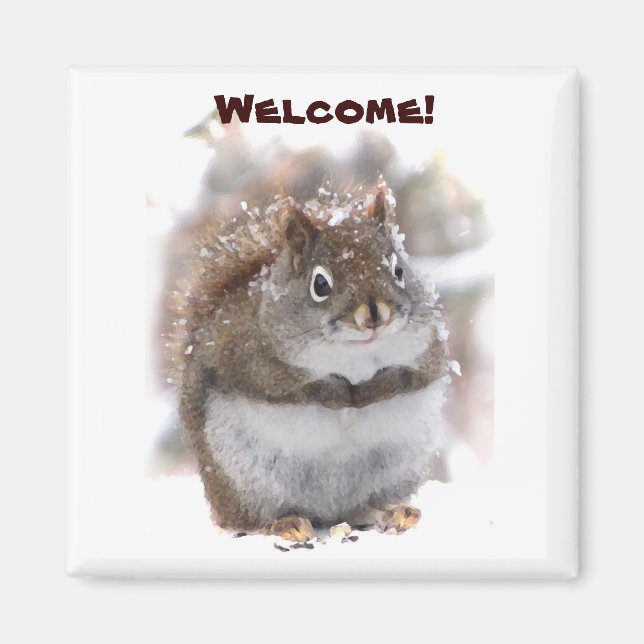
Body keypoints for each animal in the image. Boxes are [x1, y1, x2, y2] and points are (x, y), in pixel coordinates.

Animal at [166, 182, 452, 542]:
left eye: (398, 270)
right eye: (320, 284)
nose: (375, 315)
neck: (355, 353)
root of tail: (326, 512)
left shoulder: (429, 348)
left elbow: (413, 376)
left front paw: (374, 389)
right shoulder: (246, 354)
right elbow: (286, 386)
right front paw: (336, 393)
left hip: (396, 467)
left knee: (362, 506)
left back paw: (391, 511)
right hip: (243, 476)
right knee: (246, 520)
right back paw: (282, 523)